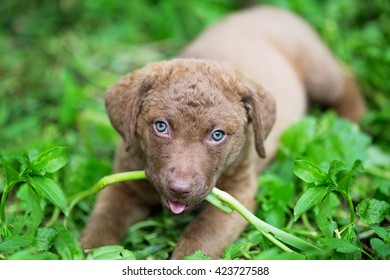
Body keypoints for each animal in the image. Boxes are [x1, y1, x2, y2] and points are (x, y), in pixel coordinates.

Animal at [79, 6, 366, 260]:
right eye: (161, 126)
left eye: (217, 135)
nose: (179, 189)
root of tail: (272, 9)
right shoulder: (121, 184)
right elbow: (102, 223)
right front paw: (90, 252)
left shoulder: (237, 194)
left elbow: (201, 236)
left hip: (318, 71)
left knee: (346, 75)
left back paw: (354, 121)